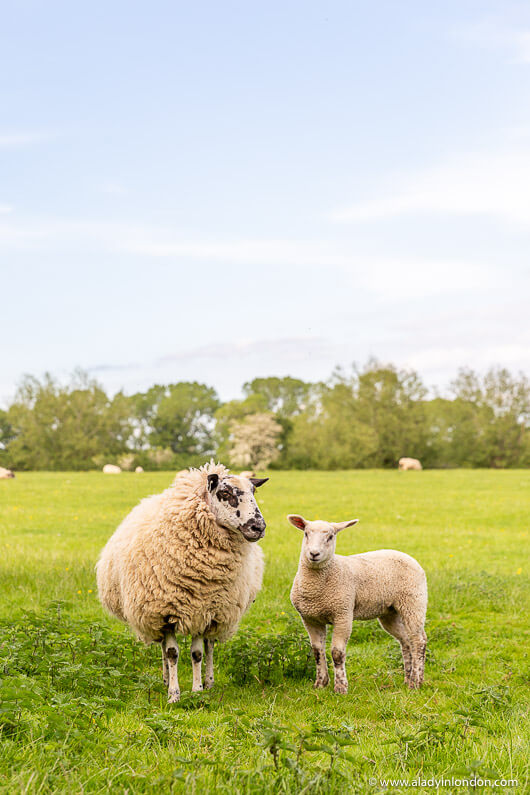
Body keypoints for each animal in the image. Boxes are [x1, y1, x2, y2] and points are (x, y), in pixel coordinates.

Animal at [95, 460, 268, 704]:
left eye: (254, 492)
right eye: (225, 493)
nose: (258, 527)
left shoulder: (204, 610)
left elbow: (197, 653)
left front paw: (197, 690)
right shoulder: (164, 612)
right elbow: (171, 653)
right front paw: (174, 694)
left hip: (217, 615)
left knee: (210, 645)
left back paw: (209, 682)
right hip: (153, 615)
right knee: (162, 647)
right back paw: (166, 679)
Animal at [286, 512, 426, 692]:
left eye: (331, 536)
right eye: (306, 534)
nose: (314, 554)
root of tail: (407, 556)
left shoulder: (343, 614)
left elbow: (337, 653)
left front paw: (341, 687)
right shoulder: (310, 618)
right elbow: (317, 651)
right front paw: (320, 683)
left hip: (413, 603)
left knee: (419, 640)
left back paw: (416, 681)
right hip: (390, 613)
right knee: (406, 641)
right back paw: (408, 680)